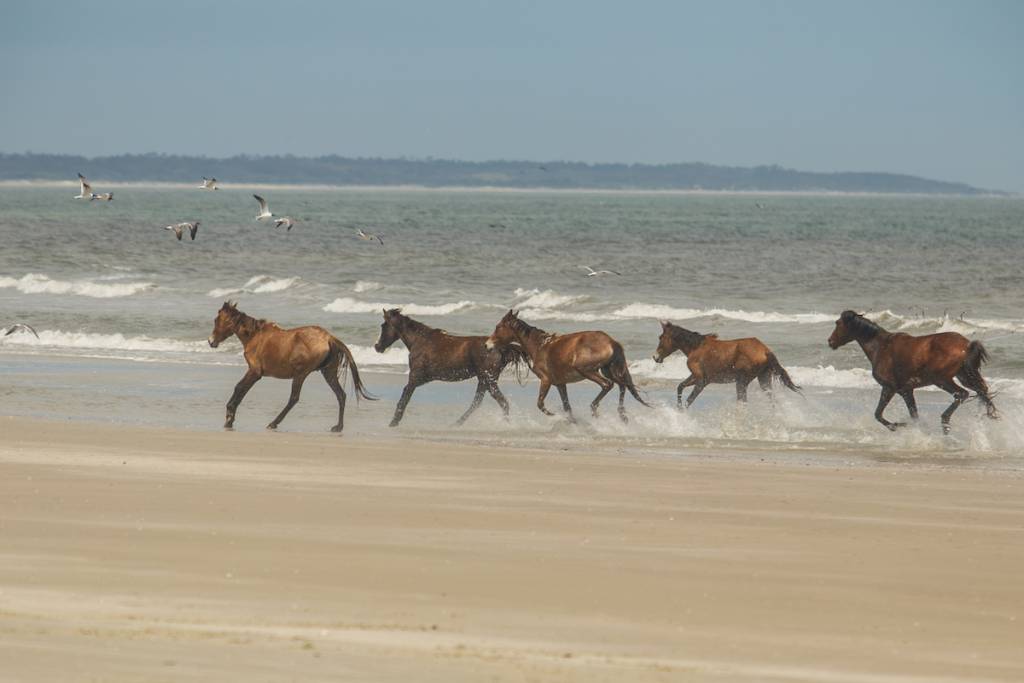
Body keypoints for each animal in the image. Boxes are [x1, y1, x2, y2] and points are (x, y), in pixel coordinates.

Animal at [207, 301, 375, 431]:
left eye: (216, 320)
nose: (211, 341)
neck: (254, 336)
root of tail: (329, 338)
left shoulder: (255, 372)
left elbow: (239, 388)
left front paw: (229, 418)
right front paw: (229, 418)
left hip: (301, 374)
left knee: (294, 398)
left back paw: (273, 423)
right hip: (328, 373)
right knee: (341, 395)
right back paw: (338, 427)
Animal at [374, 308, 527, 427]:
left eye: (383, 326)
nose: (377, 347)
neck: (420, 340)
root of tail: (502, 348)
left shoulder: (415, 377)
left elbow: (404, 397)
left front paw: (393, 422)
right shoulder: (423, 378)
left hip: (488, 380)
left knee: (501, 402)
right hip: (484, 380)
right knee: (478, 403)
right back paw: (456, 424)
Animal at [485, 310, 649, 422]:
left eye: (498, 327)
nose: (487, 345)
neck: (539, 346)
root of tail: (611, 341)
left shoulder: (546, 380)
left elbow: (540, 403)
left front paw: (553, 415)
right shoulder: (560, 383)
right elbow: (567, 407)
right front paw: (572, 422)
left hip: (586, 370)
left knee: (607, 385)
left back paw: (595, 409)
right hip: (609, 370)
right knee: (622, 386)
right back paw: (622, 415)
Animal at [652, 320, 800, 408]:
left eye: (661, 337)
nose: (655, 357)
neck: (696, 347)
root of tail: (765, 350)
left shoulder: (701, 381)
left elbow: (689, 400)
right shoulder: (699, 378)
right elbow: (680, 387)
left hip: (742, 381)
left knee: (743, 402)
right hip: (763, 379)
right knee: (770, 401)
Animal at [827, 310, 998, 433]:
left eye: (837, 323)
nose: (830, 341)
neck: (881, 347)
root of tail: (967, 345)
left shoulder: (889, 388)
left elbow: (878, 414)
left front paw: (898, 425)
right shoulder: (907, 391)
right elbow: (914, 415)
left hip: (942, 380)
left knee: (961, 394)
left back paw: (945, 422)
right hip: (965, 376)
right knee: (982, 392)